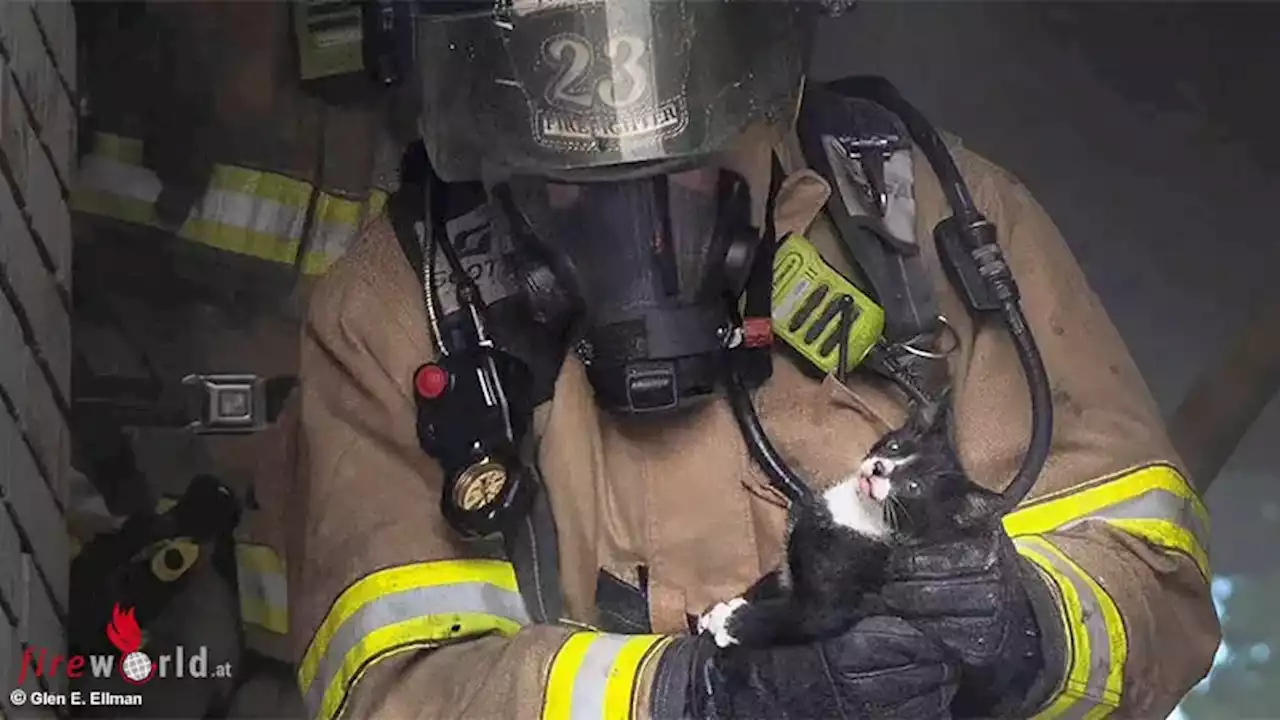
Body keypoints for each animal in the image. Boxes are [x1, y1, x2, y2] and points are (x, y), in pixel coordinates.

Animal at [701, 399, 998, 648]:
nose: (879, 468)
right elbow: (774, 580)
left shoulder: (836, 598)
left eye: (914, 487)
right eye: (894, 446)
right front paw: (724, 609)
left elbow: (796, 618)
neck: (857, 512)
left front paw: (727, 623)